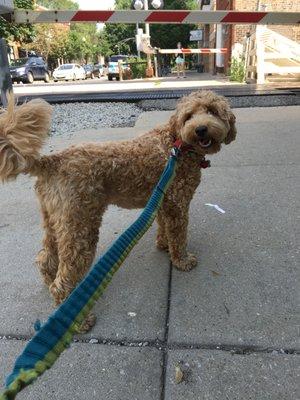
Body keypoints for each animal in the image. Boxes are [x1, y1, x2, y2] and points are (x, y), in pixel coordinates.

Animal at [0, 90, 237, 332]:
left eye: (212, 111)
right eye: (189, 116)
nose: (201, 129)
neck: (178, 144)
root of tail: (52, 161)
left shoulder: (163, 199)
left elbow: (164, 226)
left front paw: (163, 245)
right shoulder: (178, 203)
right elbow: (178, 235)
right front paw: (181, 260)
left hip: (57, 220)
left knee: (45, 259)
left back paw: (49, 282)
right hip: (80, 227)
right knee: (62, 282)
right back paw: (77, 320)